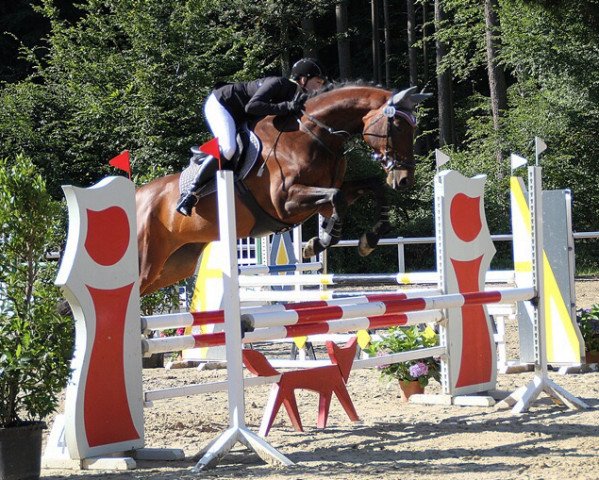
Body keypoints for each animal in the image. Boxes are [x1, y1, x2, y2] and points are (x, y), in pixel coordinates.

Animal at [136, 86, 432, 296]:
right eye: (397, 126)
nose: (404, 179)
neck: (314, 135)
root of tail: (138, 195)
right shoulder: (285, 203)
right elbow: (336, 199)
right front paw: (319, 242)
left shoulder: (327, 195)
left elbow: (372, 187)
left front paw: (368, 239)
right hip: (147, 262)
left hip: (173, 265)